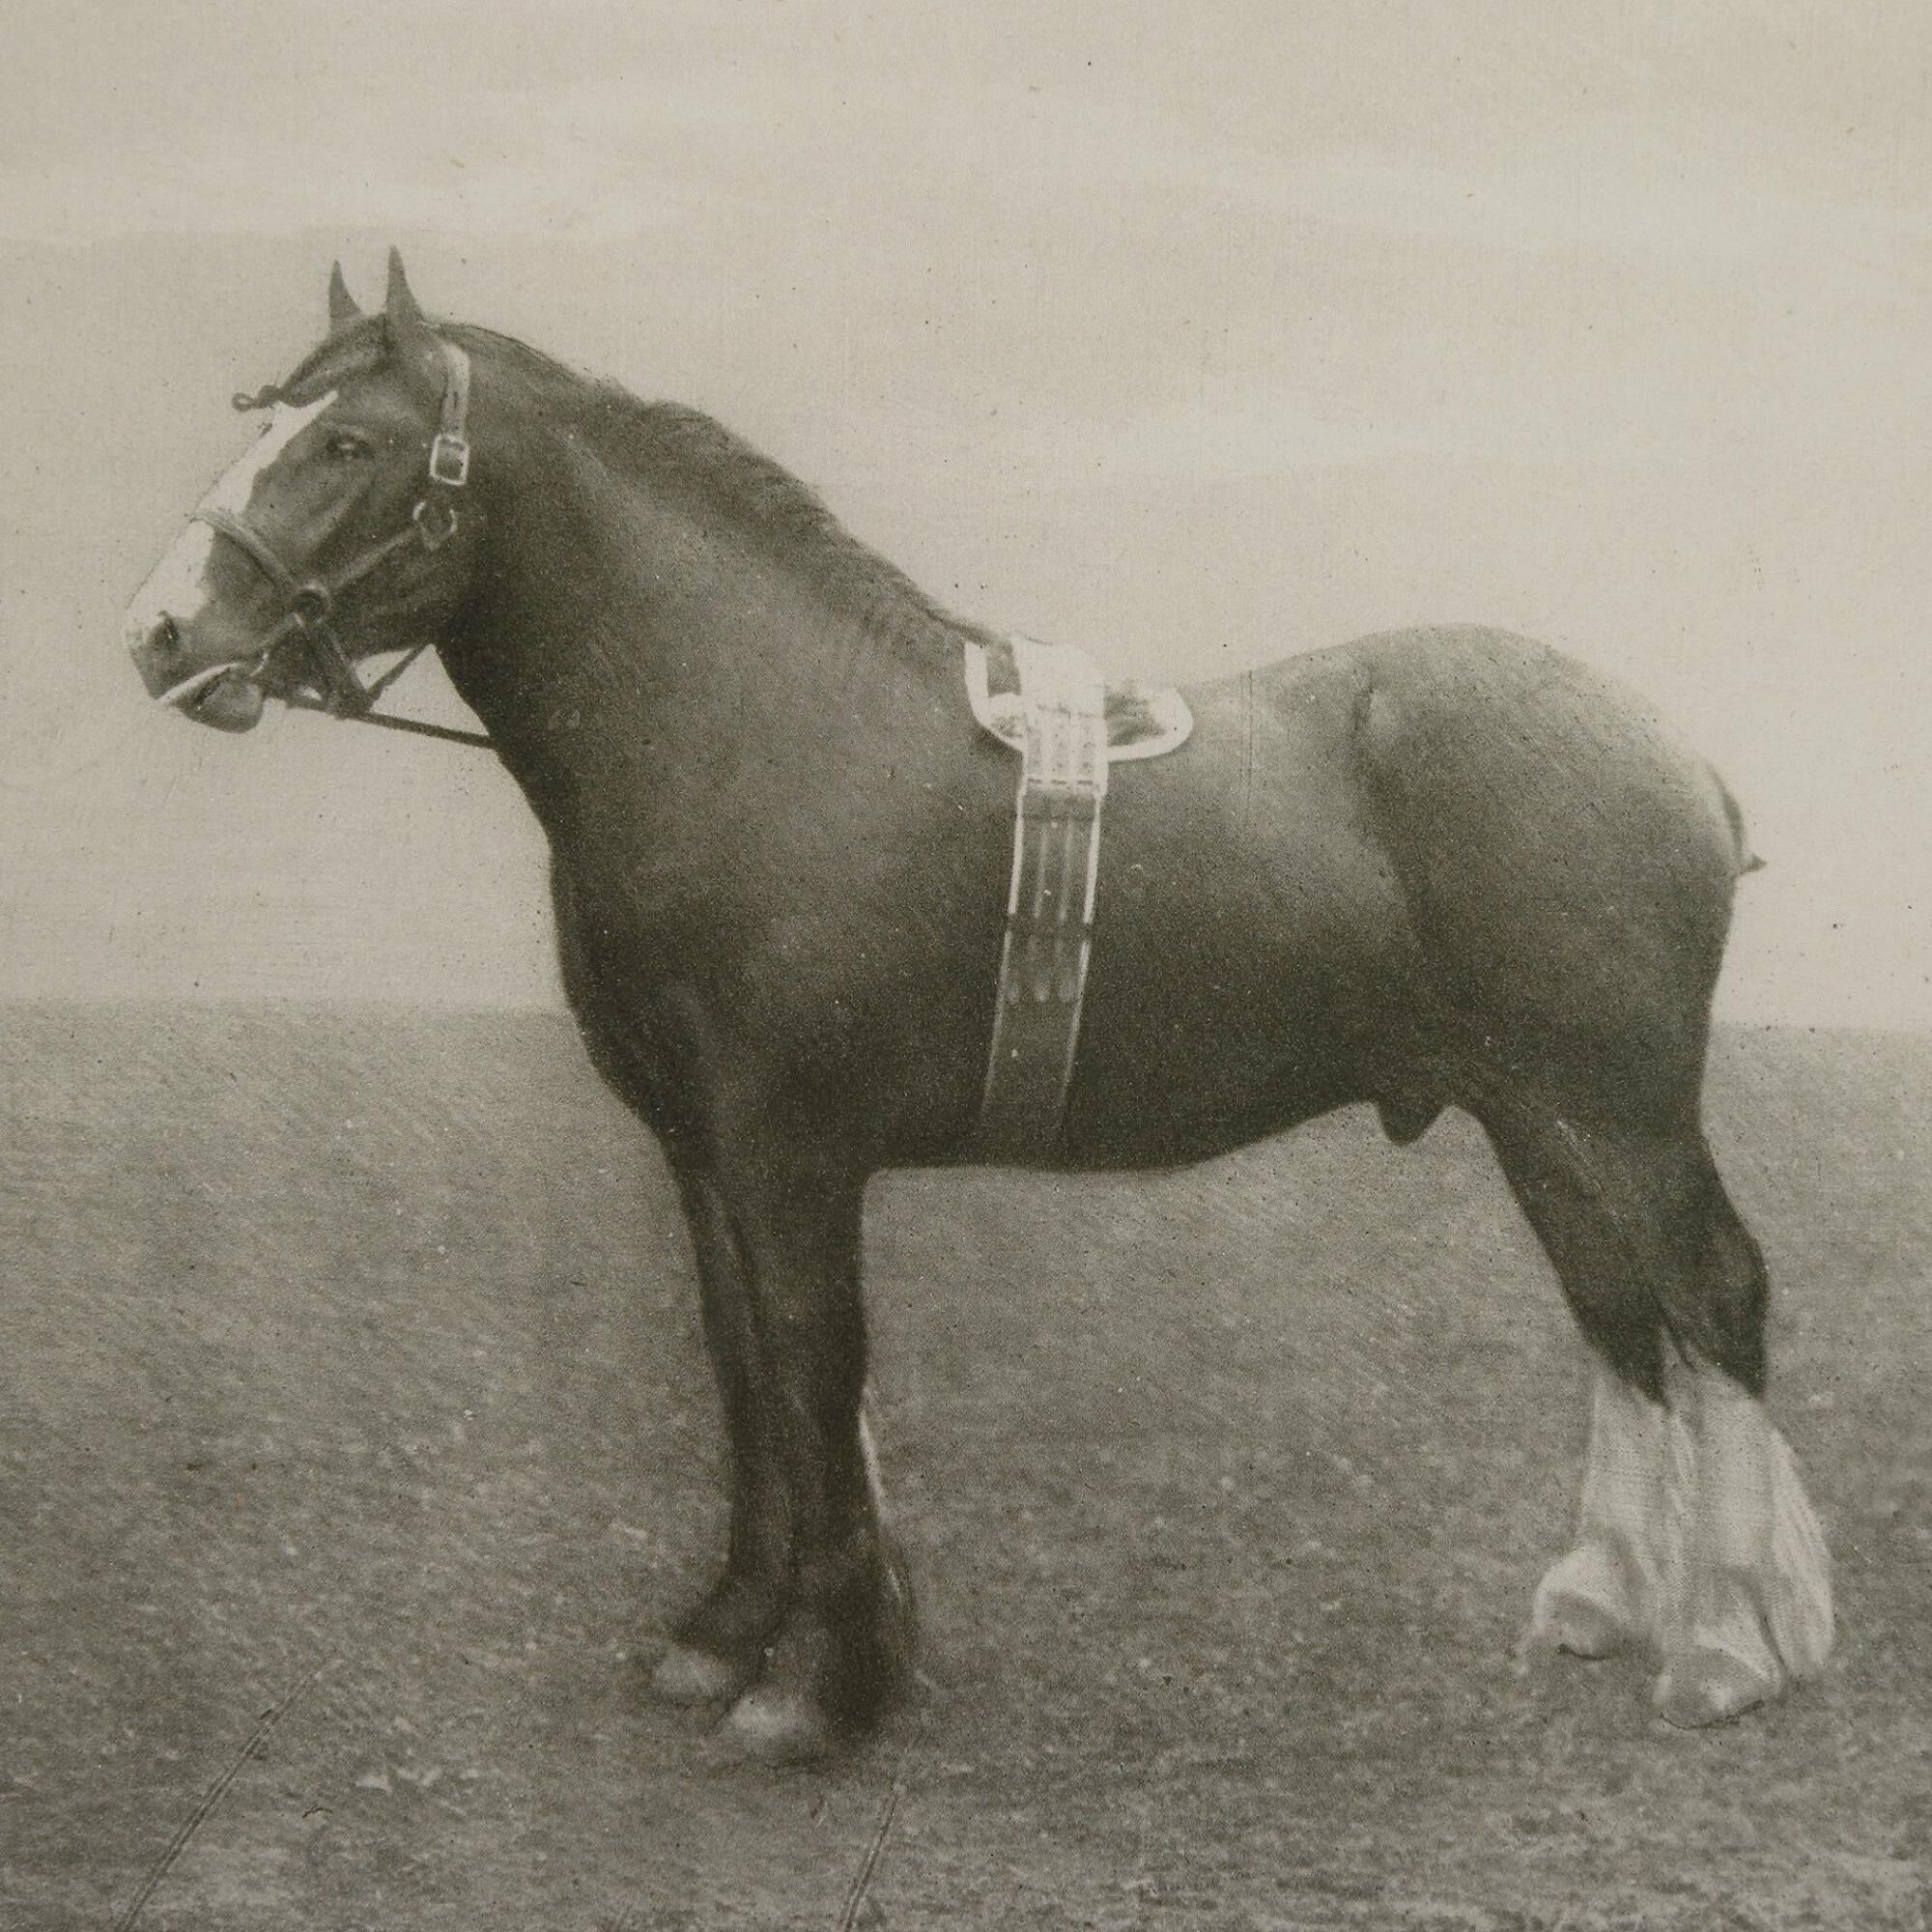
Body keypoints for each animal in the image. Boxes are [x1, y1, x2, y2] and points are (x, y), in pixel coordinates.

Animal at [128, 249, 1832, 1762]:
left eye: (349, 444)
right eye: (270, 416)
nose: (164, 633)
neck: (751, 722)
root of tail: (1674, 753)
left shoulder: (792, 1154)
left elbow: (814, 1367)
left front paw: (815, 1690)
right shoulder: (704, 1157)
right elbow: (743, 1372)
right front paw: (726, 1637)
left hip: (1620, 1109)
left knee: (1711, 1295)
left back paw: (1728, 1647)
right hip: (1530, 1117)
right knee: (1615, 1313)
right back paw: (1605, 1599)